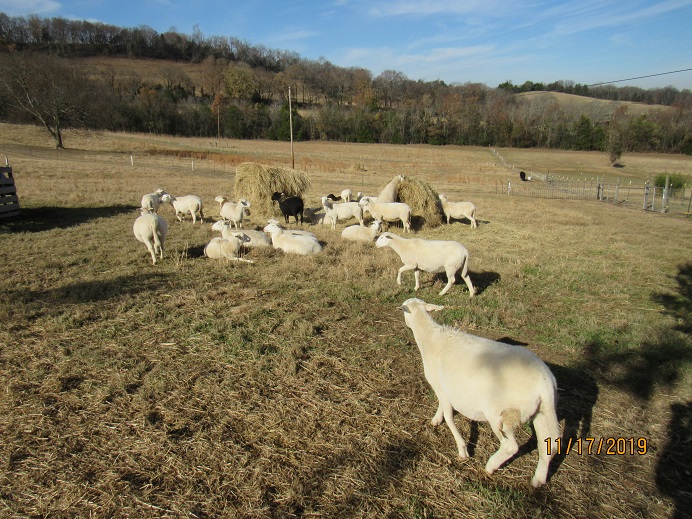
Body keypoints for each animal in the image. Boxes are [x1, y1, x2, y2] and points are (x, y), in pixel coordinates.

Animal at [398, 296, 560, 488]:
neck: (430, 337)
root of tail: (545, 384)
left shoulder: (440, 385)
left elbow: (449, 415)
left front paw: (462, 449)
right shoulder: (444, 388)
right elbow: (442, 407)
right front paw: (436, 419)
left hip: (501, 414)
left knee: (511, 447)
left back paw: (490, 466)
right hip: (540, 412)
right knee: (547, 446)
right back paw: (538, 480)